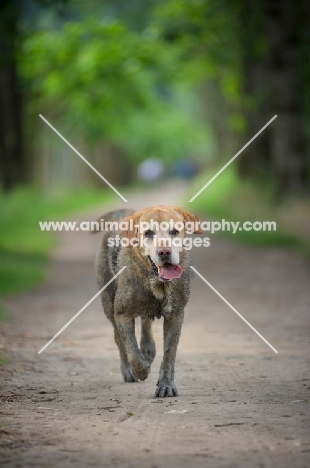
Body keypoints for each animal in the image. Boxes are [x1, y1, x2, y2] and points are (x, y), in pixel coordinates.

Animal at [93, 207, 202, 396]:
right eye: (148, 233)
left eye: (174, 231)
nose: (164, 252)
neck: (158, 283)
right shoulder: (122, 314)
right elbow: (132, 351)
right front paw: (141, 370)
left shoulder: (176, 314)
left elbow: (169, 354)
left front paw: (166, 385)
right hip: (108, 301)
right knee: (119, 338)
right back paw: (129, 369)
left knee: (146, 321)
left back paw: (148, 348)